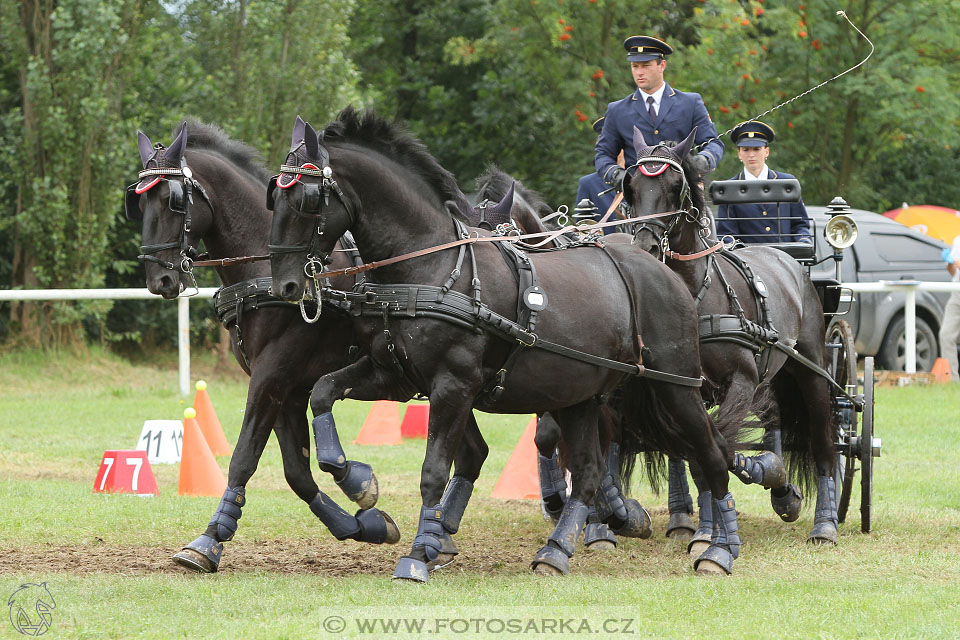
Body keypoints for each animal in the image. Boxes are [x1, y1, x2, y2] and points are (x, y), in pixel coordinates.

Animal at [124, 122, 402, 572]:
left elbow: (243, 455)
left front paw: (209, 539)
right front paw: (362, 525)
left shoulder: (272, 376)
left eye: (173, 200)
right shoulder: (287, 386)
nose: (159, 280)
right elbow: (296, 472)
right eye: (139, 201)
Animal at [268, 107, 744, 576]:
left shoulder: (453, 385)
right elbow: (322, 392)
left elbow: (434, 470)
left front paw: (419, 553)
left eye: (307, 199)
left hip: (676, 386)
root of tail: (663, 267)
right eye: (275, 195)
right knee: (589, 472)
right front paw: (357, 480)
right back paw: (556, 551)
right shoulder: (394, 374)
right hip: (580, 396)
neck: (428, 266)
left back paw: (719, 547)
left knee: (711, 453)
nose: (285, 284)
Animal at [628, 126, 836, 544]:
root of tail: (789, 260)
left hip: (812, 371)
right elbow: (704, 453)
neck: (695, 295)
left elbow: (723, 442)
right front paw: (710, 531)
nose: (644, 246)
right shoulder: (686, 389)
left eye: (675, 186)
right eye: (632, 186)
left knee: (823, 442)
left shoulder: (741, 381)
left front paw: (770, 474)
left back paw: (825, 523)